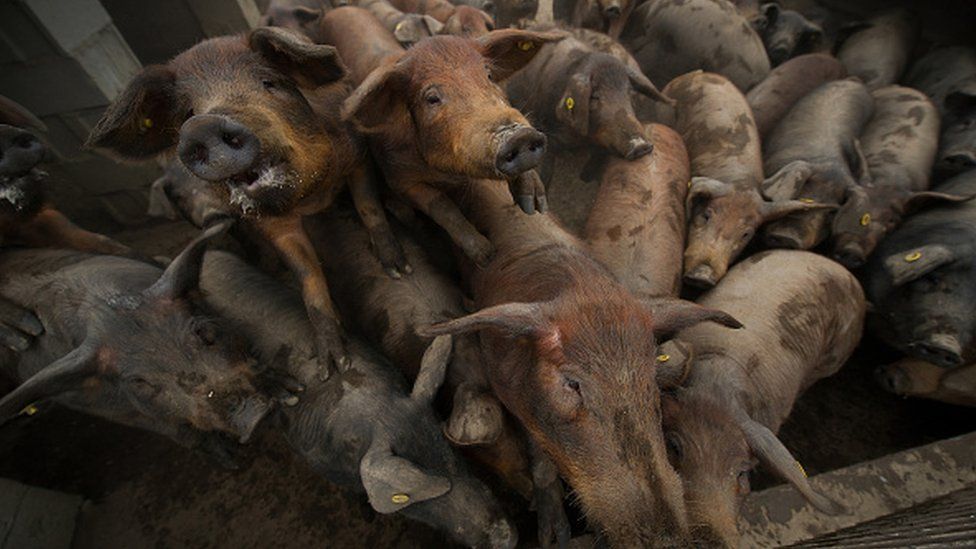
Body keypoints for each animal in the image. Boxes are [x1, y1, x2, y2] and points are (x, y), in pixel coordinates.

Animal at [0, 223, 291, 466]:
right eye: (141, 382)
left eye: (205, 333)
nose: (253, 414)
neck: (102, 307)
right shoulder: (97, 404)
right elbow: (169, 426)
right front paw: (230, 461)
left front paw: (289, 391)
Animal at [86, 27, 410, 374]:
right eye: (187, 113)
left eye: (268, 82)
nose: (202, 126)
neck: (311, 194)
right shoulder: (270, 222)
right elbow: (305, 273)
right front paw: (333, 366)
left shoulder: (357, 152)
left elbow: (369, 206)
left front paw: (398, 270)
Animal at [340, 30, 562, 265]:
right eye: (431, 98)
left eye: (489, 75)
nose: (520, 136)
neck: (448, 173)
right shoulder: (399, 179)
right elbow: (442, 205)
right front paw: (486, 254)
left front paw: (534, 207)